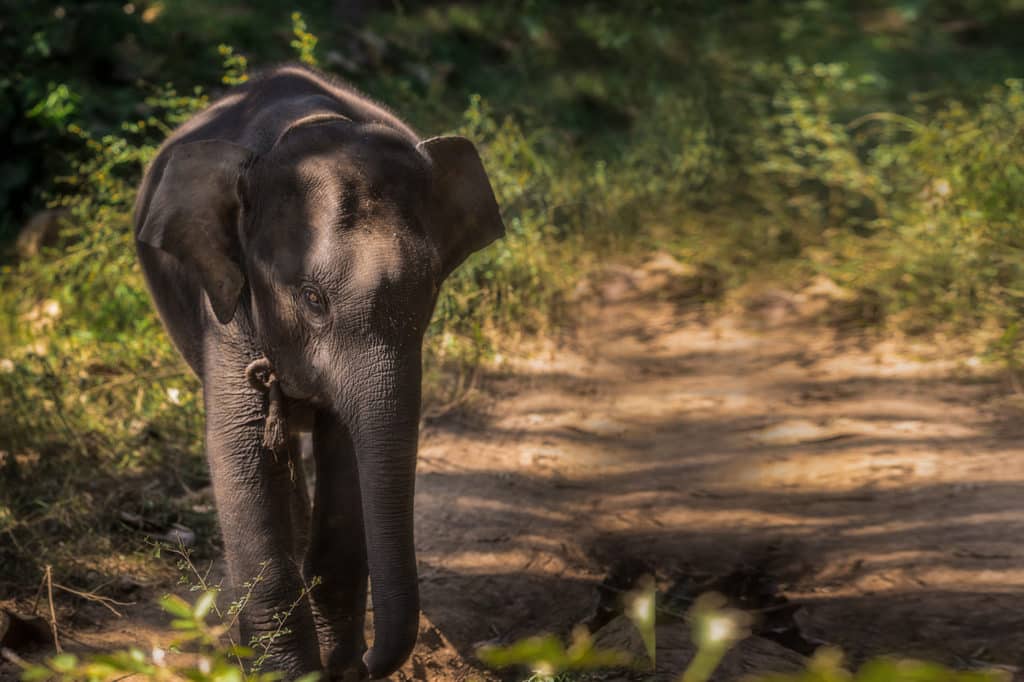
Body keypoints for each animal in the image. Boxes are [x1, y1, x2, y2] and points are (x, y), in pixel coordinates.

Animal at [133, 64, 505, 679]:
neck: (310, 128)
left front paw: (339, 664)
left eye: (430, 291)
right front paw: (292, 671)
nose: (370, 662)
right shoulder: (225, 303)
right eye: (311, 298)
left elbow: (347, 453)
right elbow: (239, 447)